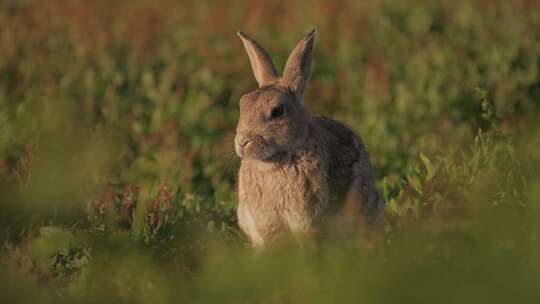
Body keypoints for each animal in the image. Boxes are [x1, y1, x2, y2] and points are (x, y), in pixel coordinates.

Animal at [234, 28, 382, 248]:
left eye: (277, 111)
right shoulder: (267, 221)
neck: (276, 160)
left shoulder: (307, 218)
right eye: (242, 104)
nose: (242, 142)